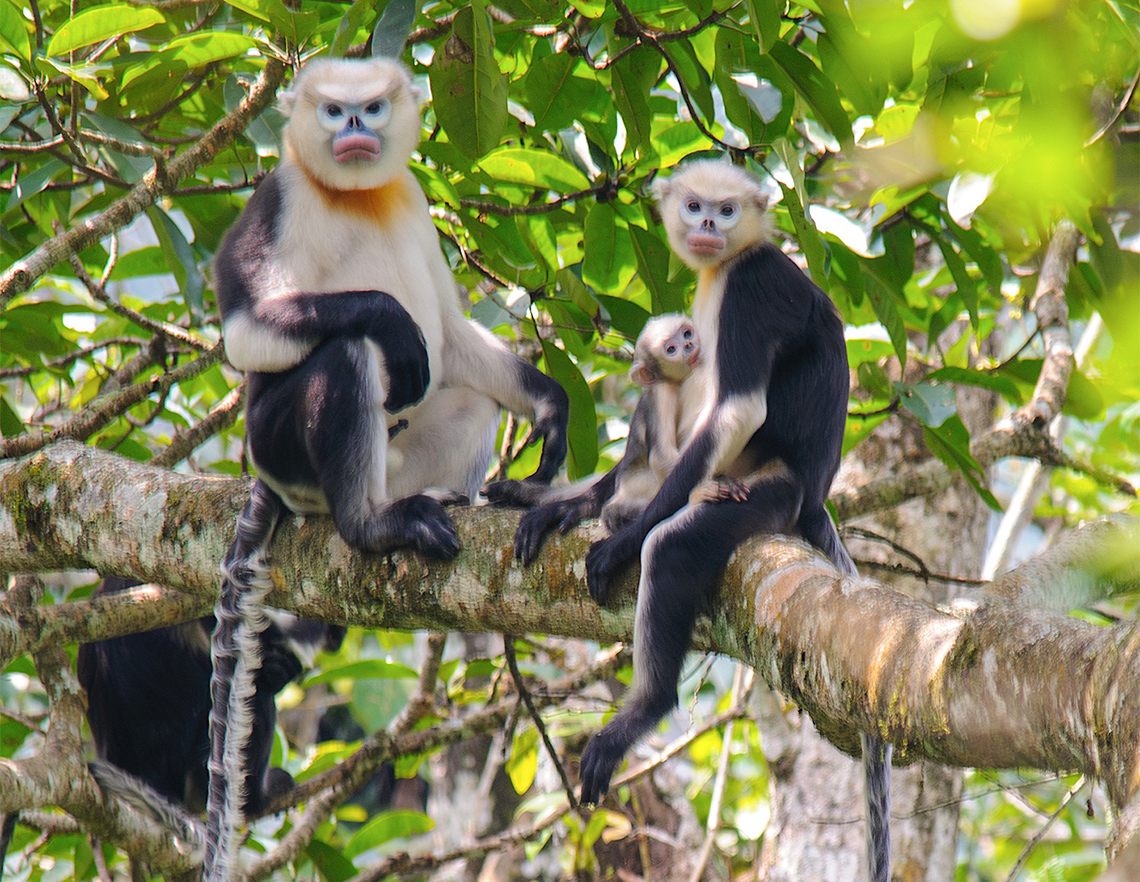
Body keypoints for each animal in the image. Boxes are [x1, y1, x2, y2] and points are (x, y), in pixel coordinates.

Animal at [205, 56, 569, 881]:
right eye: (333, 110)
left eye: (371, 108)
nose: (354, 129)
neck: (355, 194)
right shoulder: (277, 198)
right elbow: (250, 332)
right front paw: (389, 317)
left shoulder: (414, 203)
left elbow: (453, 333)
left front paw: (551, 408)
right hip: (278, 444)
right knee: (349, 352)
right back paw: (370, 525)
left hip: (403, 457)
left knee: (467, 400)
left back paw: (449, 499)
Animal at [560, 160, 891, 882]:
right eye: (694, 207)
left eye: (726, 209)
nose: (709, 223)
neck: (729, 263)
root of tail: (813, 494)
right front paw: (562, 506)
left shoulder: (753, 288)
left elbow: (738, 409)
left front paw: (621, 543)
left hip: (768, 495)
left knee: (674, 550)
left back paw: (644, 705)